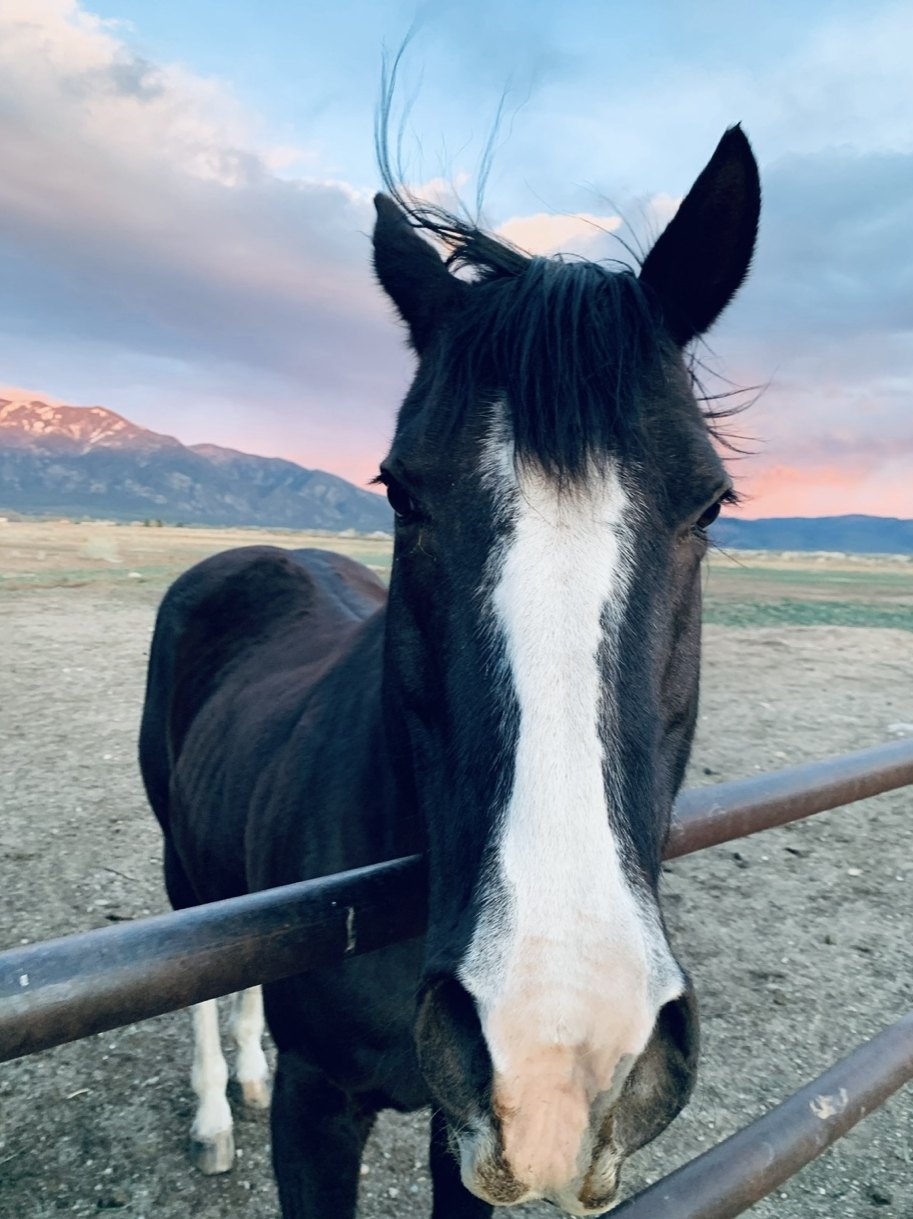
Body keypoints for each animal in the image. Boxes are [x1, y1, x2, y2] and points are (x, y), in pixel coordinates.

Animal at [139, 126, 760, 1217]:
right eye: (400, 492)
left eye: (710, 504)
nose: (559, 1053)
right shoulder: (318, 1107)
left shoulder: (460, 1132)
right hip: (183, 864)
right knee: (207, 981)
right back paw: (217, 1109)